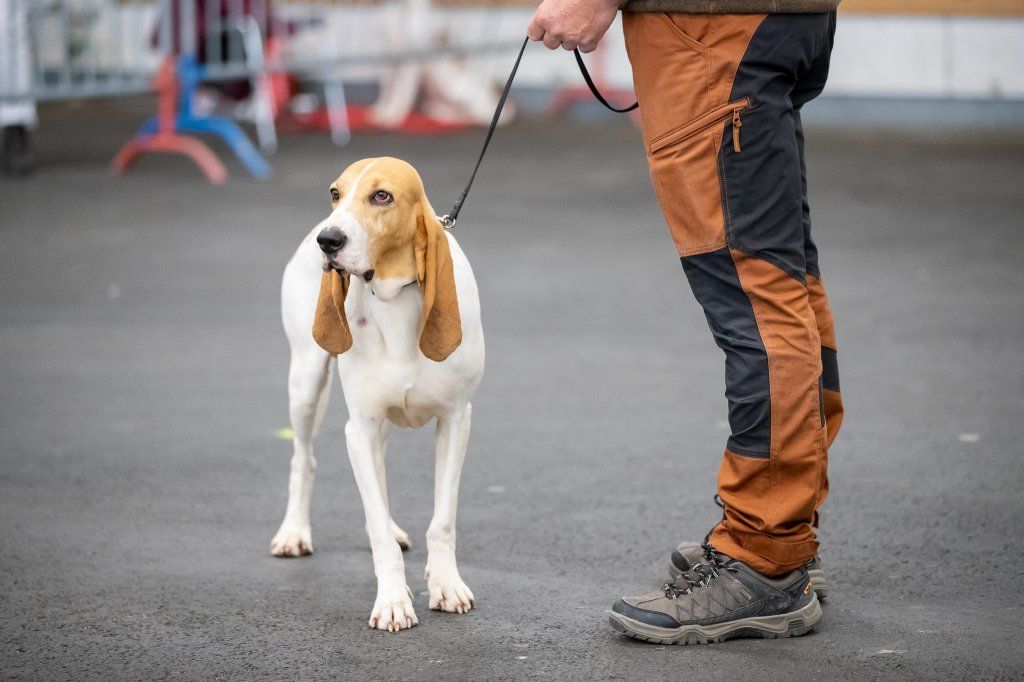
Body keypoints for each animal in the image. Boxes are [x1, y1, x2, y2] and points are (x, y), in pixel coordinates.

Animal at [268, 156, 483, 630]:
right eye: (335, 192)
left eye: (382, 196)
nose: (328, 240)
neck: (395, 297)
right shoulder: (360, 429)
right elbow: (378, 526)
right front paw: (393, 601)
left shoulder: (456, 421)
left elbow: (442, 520)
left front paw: (445, 583)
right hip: (305, 383)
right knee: (302, 459)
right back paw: (293, 532)